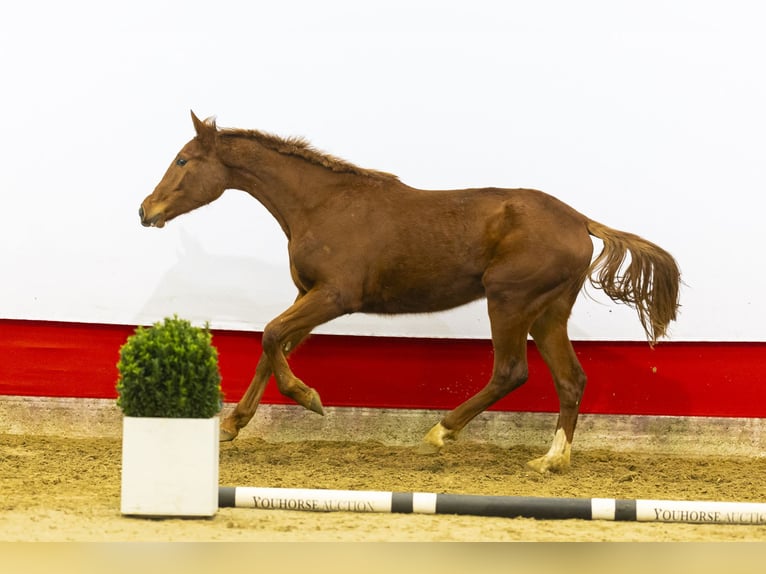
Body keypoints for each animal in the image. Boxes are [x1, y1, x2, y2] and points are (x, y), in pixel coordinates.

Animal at [141, 112, 680, 472]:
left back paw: (439, 433)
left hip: (510, 301)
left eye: (183, 159)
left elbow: (271, 336)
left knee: (511, 371)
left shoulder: (334, 296)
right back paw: (551, 460)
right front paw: (233, 425)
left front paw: (310, 398)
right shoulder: (307, 295)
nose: (146, 210)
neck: (321, 205)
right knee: (571, 379)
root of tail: (581, 221)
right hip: (549, 312)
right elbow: (271, 347)